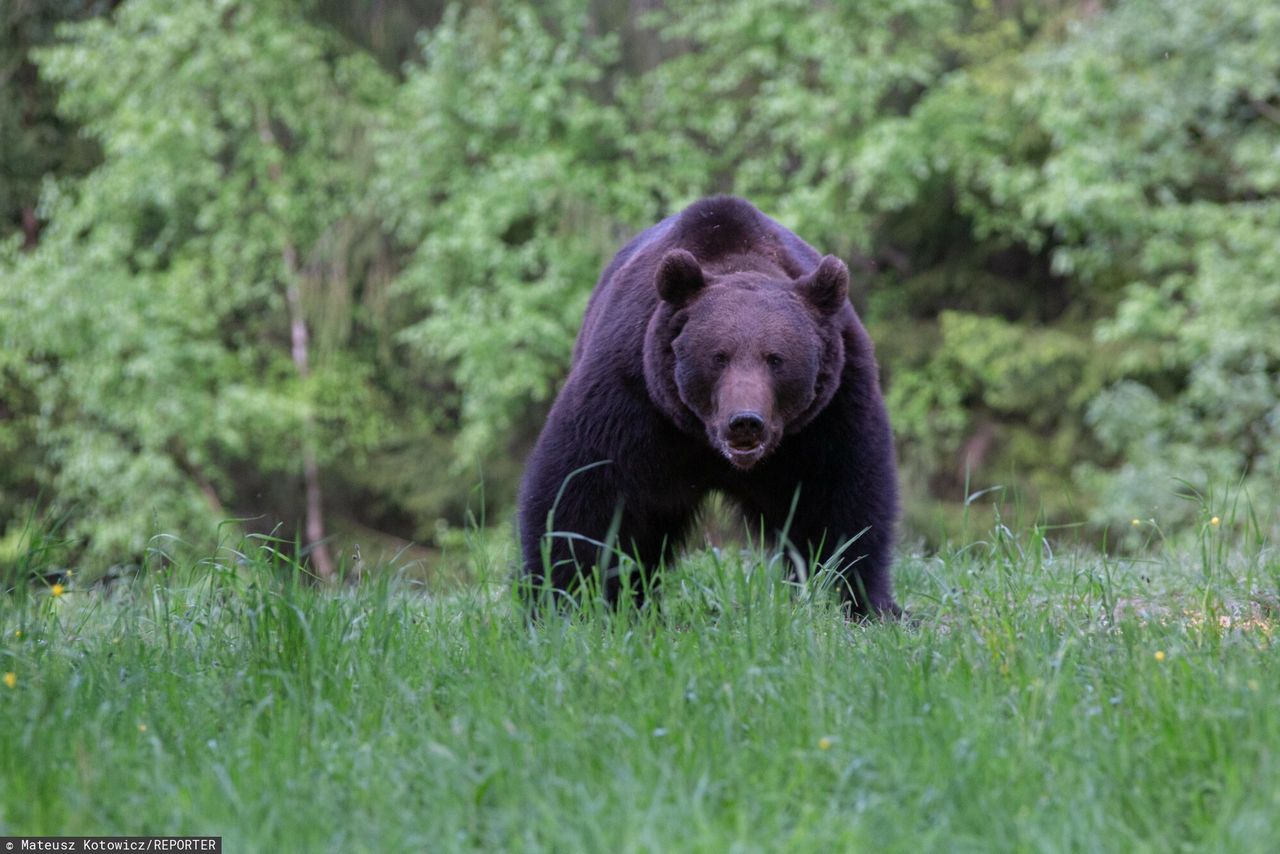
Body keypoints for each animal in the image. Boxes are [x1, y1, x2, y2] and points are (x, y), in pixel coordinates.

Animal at [519, 197, 901, 617]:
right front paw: (566, 601)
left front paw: (864, 602)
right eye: (719, 356)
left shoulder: (830, 410)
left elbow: (840, 498)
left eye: (776, 359)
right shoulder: (631, 393)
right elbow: (582, 492)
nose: (745, 422)